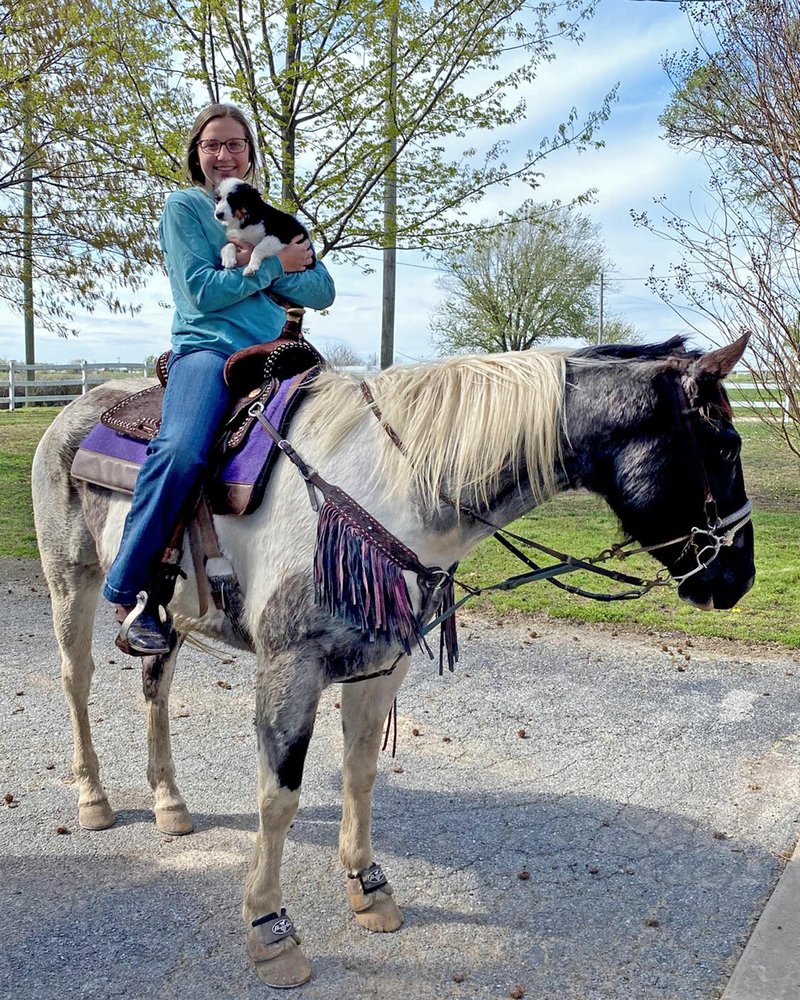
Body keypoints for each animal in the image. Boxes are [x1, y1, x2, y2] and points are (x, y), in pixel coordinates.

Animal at [31, 336, 752, 984]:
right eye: (724, 444)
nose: (738, 580)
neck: (387, 490)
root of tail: (76, 408)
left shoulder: (381, 666)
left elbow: (359, 775)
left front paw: (369, 887)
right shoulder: (290, 670)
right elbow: (278, 798)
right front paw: (270, 929)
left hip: (167, 616)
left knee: (154, 686)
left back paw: (170, 805)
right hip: (72, 583)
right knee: (76, 682)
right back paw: (93, 797)